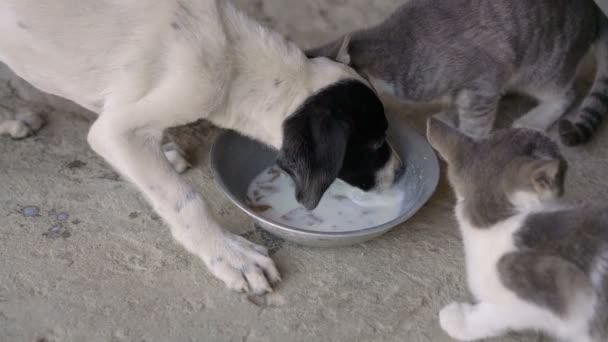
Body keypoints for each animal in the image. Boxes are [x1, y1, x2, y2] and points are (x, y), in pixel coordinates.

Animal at [0, 0, 402, 294]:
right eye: (375, 143)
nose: (401, 171)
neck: (235, 61)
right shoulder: (116, 132)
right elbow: (186, 200)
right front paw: (230, 256)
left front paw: (164, 151)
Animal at [308, 0, 608, 146]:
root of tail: (594, 9)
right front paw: (449, 116)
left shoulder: (484, 78)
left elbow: (476, 124)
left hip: (544, 68)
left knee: (566, 94)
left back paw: (534, 119)